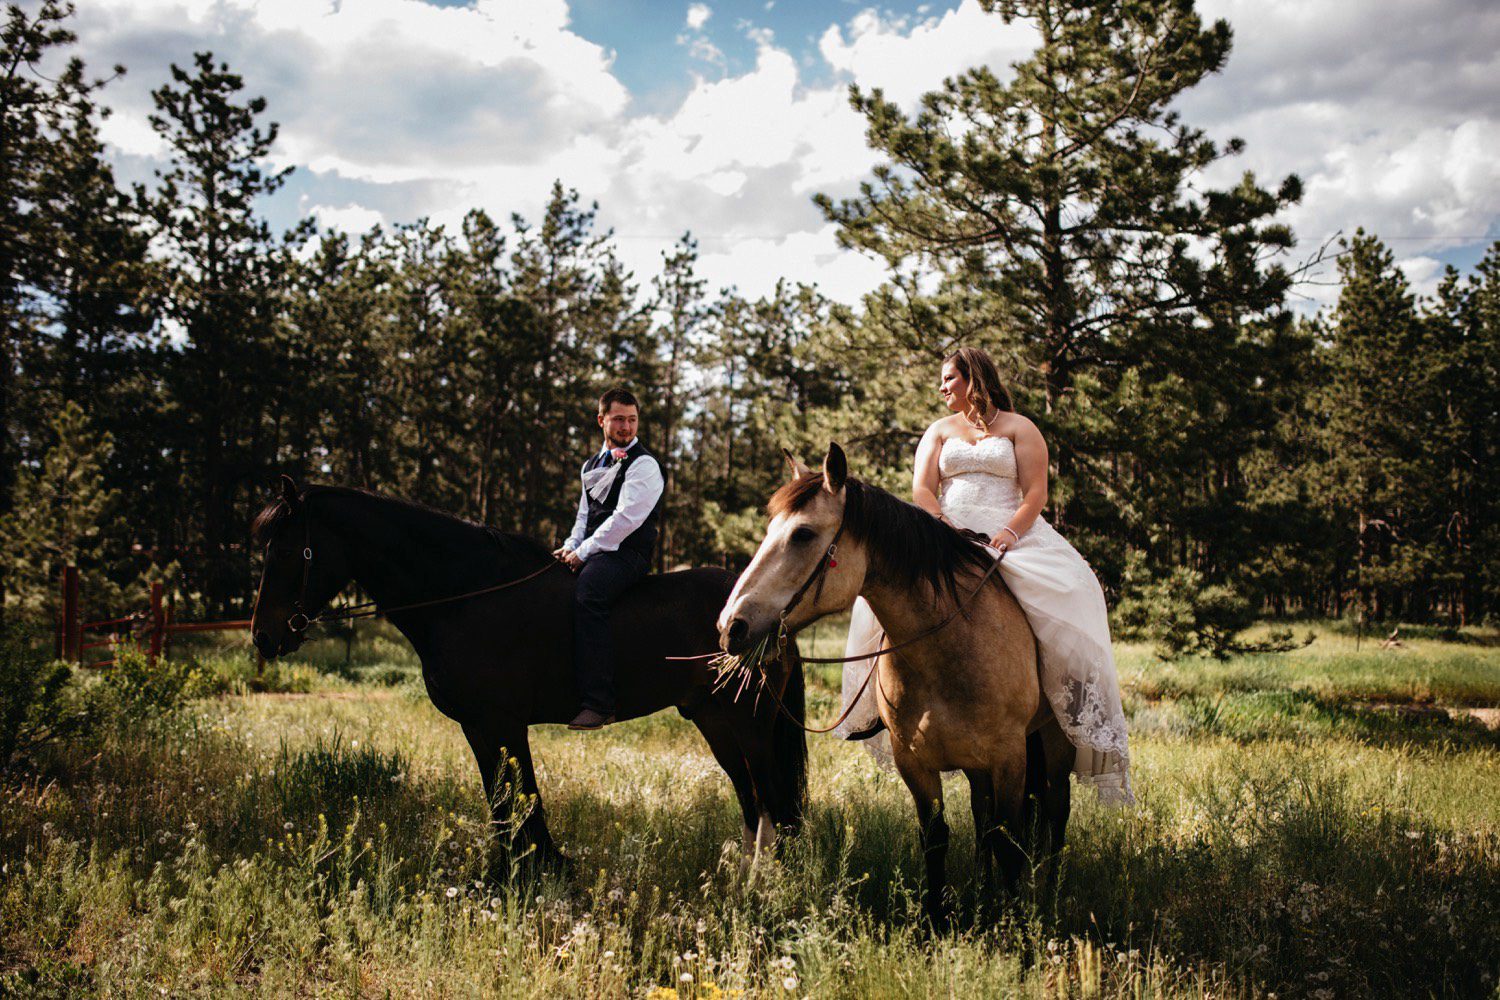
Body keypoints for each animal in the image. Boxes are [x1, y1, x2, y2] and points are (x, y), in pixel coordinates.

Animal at [249, 476, 810, 869]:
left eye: (285, 551)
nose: (263, 637)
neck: (467, 596)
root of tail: (765, 616)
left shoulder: (501, 725)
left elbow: (519, 801)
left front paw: (533, 872)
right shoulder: (482, 728)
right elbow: (506, 804)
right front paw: (522, 871)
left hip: (751, 726)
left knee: (774, 801)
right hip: (716, 724)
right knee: (753, 799)